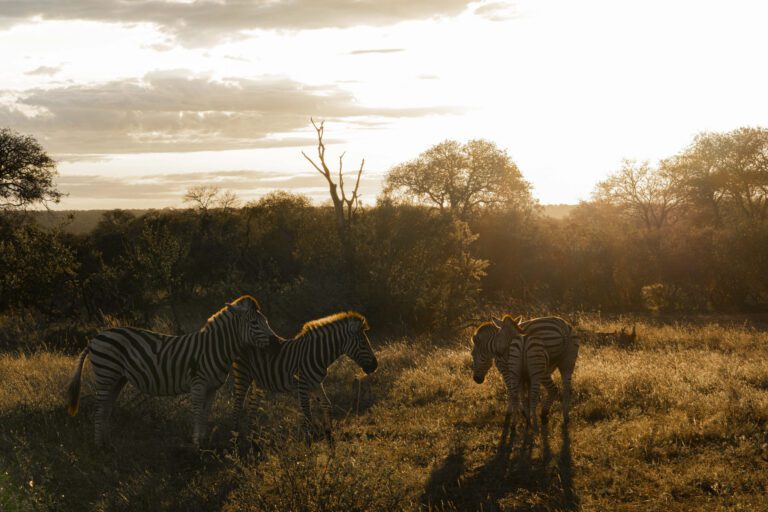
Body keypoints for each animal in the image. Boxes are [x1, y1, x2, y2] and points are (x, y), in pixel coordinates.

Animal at [66, 295, 279, 447]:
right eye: (254, 323)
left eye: (266, 321)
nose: (276, 343)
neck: (214, 348)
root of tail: (95, 338)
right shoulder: (198, 384)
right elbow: (197, 414)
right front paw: (196, 447)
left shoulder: (212, 389)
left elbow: (206, 415)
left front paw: (204, 443)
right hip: (106, 373)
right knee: (99, 410)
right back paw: (98, 446)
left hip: (117, 378)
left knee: (106, 409)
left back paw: (107, 443)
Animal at [231, 311, 378, 447]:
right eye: (363, 343)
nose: (375, 366)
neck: (318, 354)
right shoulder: (302, 385)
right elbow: (307, 412)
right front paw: (309, 442)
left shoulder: (317, 383)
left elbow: (327, 405)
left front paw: (330, 438)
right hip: (242, 375)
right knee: (237, 407)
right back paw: (235, 442)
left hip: (259, 381)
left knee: (252, 409)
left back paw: (253, 443)